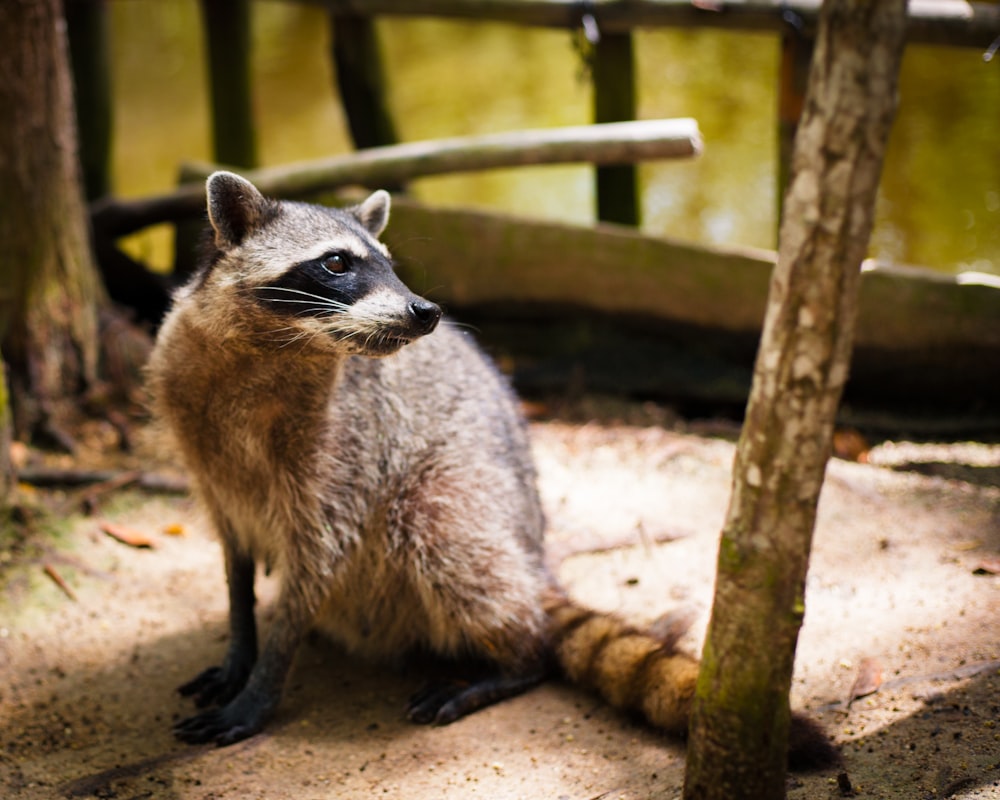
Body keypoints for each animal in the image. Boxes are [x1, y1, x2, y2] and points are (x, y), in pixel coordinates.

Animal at [146, 170, 836, 768]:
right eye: (337, 263)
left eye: (390, 262)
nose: (424, 311)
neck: (272, 347)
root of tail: (534, 555)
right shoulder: (200, 433)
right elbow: (234, 559)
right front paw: (243, 646)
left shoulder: (344, 449)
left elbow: (317, 561)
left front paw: (266, 678)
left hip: (456, 495)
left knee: (443, 537)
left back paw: (510, 661)